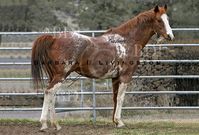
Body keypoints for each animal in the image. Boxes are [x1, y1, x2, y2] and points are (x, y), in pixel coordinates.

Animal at [31, 4, 174, 130]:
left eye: (167, 19)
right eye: (159, 20)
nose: (170, 36)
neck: (127, 40)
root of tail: (54, 38)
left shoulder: (115, 78)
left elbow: (115, 98)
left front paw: (115, 122)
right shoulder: (125, 76)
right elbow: (121, 98)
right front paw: (119, 121)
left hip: (54, 76)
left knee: (52, 95)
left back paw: (56, 124)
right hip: (60, 76)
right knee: (49, 92)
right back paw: (44, 124)